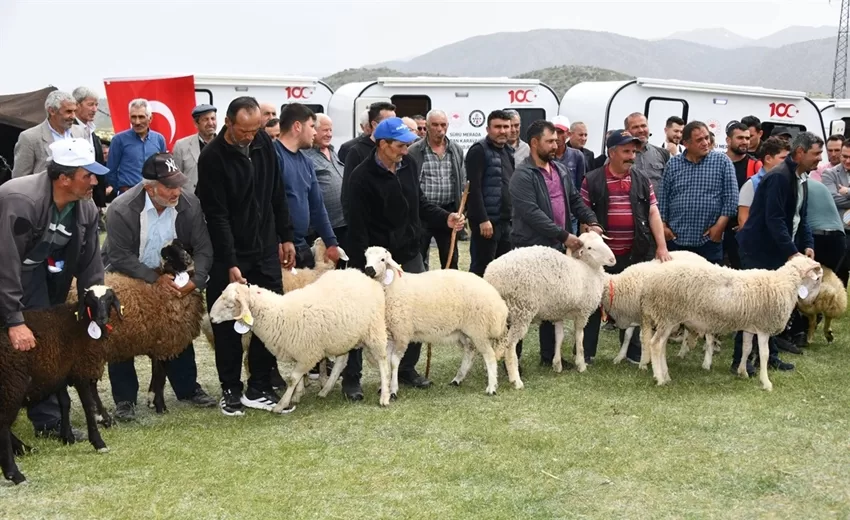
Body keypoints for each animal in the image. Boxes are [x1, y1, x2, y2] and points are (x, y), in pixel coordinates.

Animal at [209, 268, 390, 410]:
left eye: (230, 305)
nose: (211, 318)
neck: (277, 314)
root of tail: (364, 276)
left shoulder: (307, 354)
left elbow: (292, 379)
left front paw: (282, 404)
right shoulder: (300, 353)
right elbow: (299, 377)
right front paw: (297, 394)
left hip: (374, 330)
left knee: (383, 361)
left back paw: (385, 395)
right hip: (342, 337)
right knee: (341, 361)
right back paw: (325, 390)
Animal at [362, 246, 506, 396]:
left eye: (382, 259)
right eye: (366, 257)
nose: (369, 269)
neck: (393, 285)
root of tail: (499, 302)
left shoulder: (402, 333)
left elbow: (394, 362)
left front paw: (393, 390)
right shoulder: (390, 334)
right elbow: (387, 362)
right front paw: (384, 387)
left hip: (478, 330)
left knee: (489, 356)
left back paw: (491, 387)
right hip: (464, 331)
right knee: (470, 351)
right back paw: (458, 379)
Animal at [480, 232, 612, 390]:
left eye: (603, 241)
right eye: (590, 247)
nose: (613, 259)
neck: (587, 268)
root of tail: (492, 275)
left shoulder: (559, 312)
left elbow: (559, 337)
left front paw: (557, 364)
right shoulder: (583, 312)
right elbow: (580, 337)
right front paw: (581, 364)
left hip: (497, 315)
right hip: (522, 311)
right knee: (510, 345)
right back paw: (516, 379)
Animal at [640, 254, 820, 392]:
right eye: (818, 280)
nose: (814, 304)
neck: (785, 283)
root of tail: (651, 281)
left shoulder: (749, 327)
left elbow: (746, 348)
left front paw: (743, 372)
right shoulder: (763, 328)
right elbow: (765, 354)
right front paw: (766, 383)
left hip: (667, 318)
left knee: (661, 346)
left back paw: (666, 375)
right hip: (668, 315)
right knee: (655, 345)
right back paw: (660, 378)